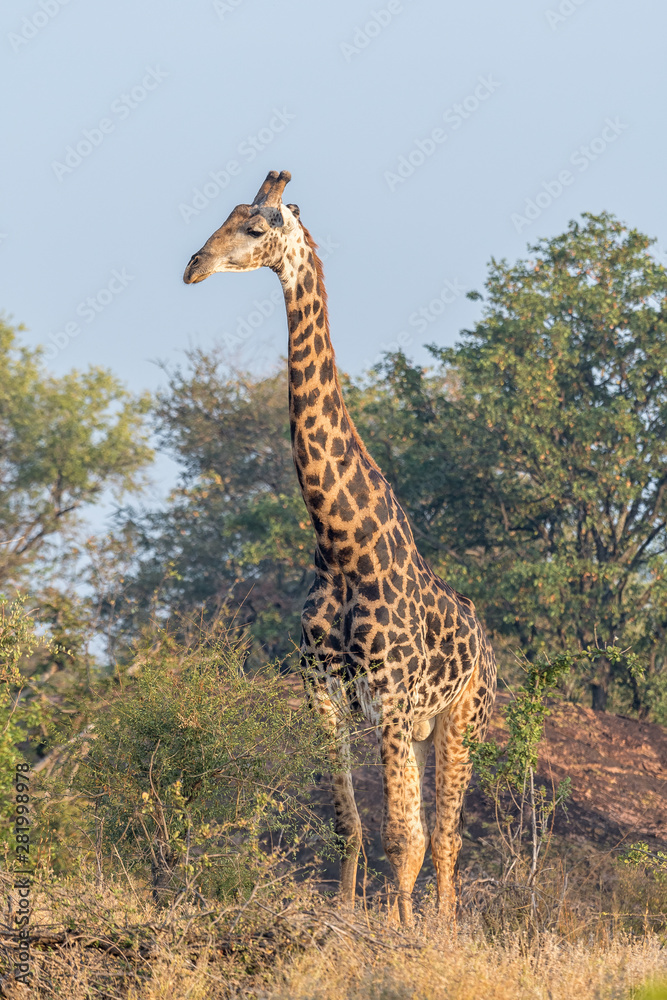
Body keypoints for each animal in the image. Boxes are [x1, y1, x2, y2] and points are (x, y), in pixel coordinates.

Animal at [183, 170, 496, 920]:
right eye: (225, 217)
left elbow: (404, 839)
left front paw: (400, 932)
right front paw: (347, 918)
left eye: (256, 227)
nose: (194, 266)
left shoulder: (391, 701)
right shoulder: (325, 696)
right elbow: (348, 825)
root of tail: (489, 645)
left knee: (445, 838)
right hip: (422, 728)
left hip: (461, 719)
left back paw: (444, 927)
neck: (342, 545)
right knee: (431, 831)